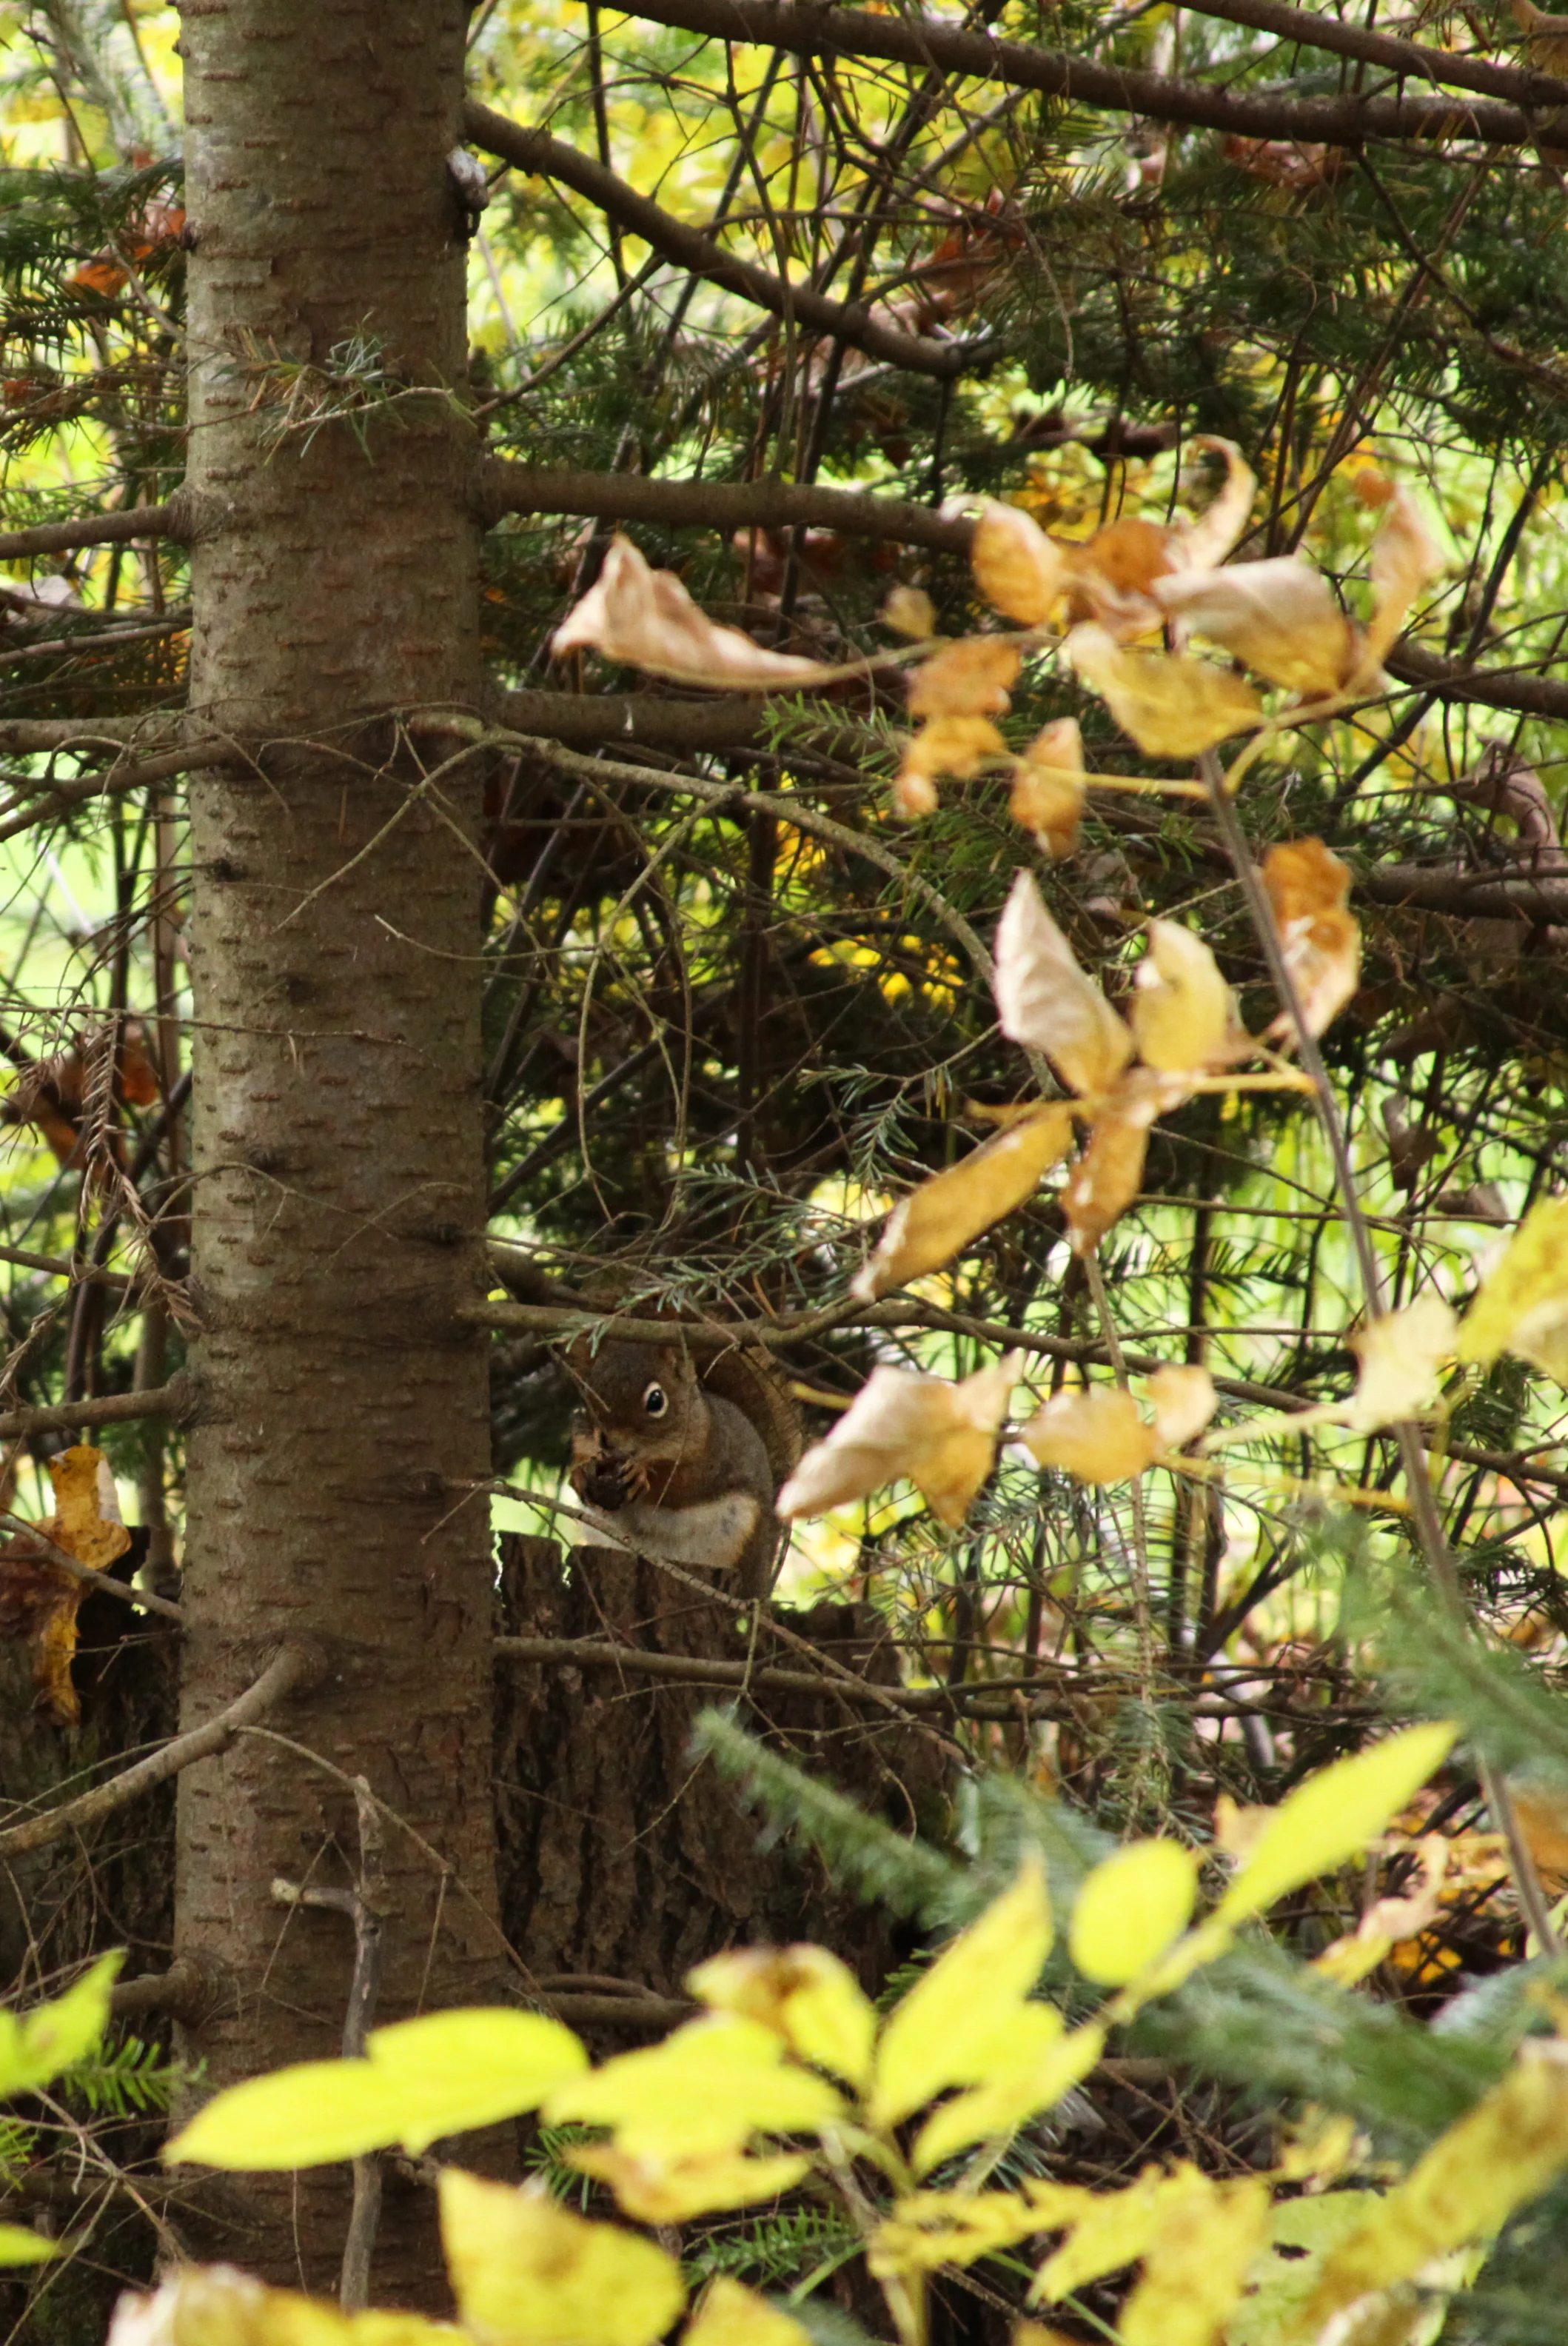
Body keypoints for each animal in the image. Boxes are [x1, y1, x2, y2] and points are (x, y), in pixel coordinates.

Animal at [565, 1336, 800, 1600]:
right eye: (588, 1392)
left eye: (656, 1400)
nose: (607, 1440)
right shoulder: (583, 1440)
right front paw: (581, 1474)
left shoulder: (709, 1456)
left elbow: (678, 1487)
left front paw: (640, 1472)